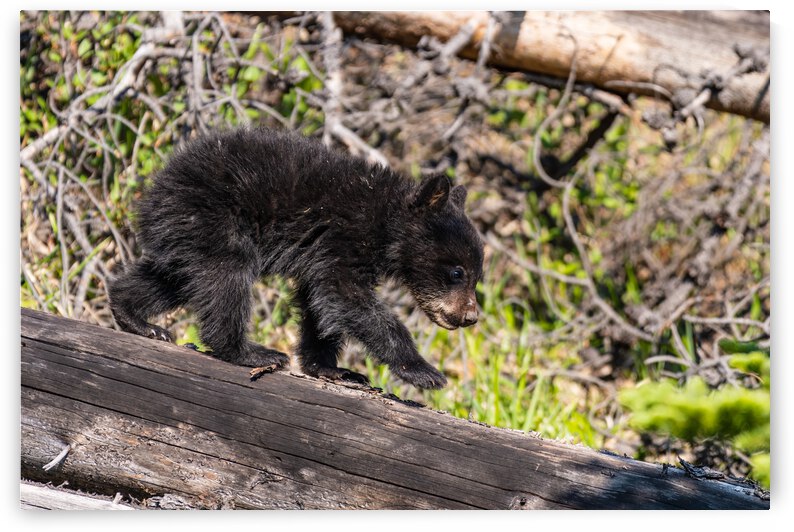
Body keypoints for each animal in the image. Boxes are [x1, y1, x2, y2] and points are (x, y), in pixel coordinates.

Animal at [107, 127, 483, 389]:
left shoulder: (322, 254)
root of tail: (156, 187)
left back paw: (137, 318)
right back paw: (250, 351)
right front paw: (423, 371)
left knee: (172, 278)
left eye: (477, 277)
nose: (471, 316)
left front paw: (335, 369)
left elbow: (320, 303)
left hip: (188, 234)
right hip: (217, 220)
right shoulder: (344, 239)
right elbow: (346, 296)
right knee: (227, 278)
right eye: (457, 273)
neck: (384, 224)